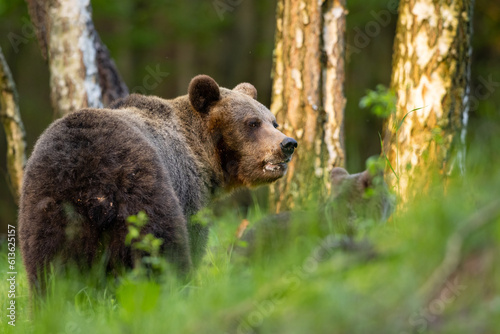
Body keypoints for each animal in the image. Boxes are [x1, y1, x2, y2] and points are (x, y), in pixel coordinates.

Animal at [19, 74, 296, 288]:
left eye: (273, 121)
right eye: (252, 122)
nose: (288, 143)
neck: (202, 154)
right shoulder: (187, 189)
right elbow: (194, 237)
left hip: (47, 203)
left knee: (49, 266)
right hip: (141, 188)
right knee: (160, 249)